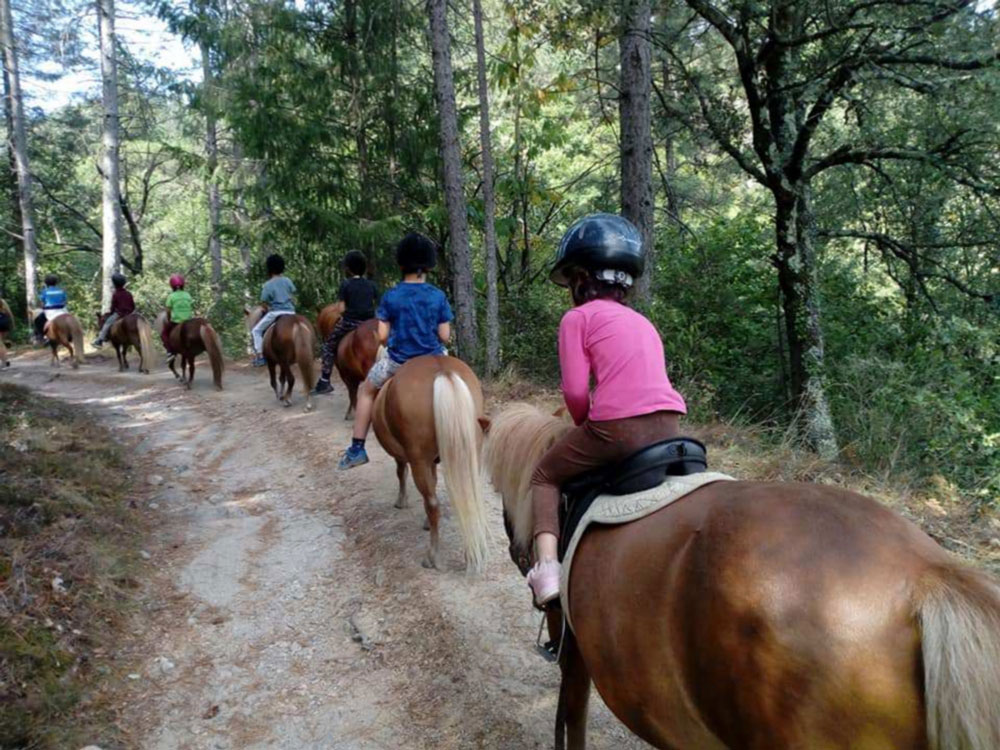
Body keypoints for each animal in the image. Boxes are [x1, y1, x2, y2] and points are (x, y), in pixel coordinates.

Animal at [370, 356, 490, 572]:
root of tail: (442, 370)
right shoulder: (432, 462)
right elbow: (433, 483)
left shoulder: (407, 458)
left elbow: (401, 473)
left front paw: (401, 501)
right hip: (470, 454)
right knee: (469, 498)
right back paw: (472, 551)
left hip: (419, 460)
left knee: (432, 504)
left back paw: (432, 556)